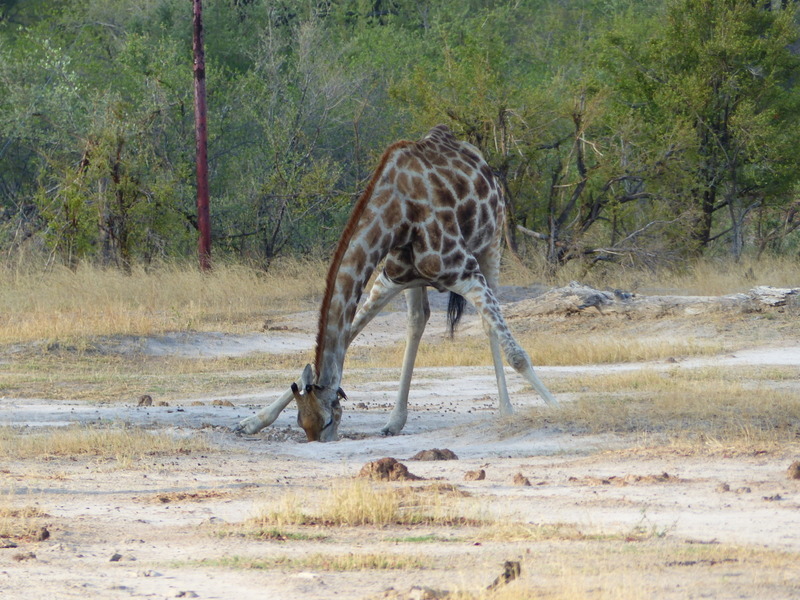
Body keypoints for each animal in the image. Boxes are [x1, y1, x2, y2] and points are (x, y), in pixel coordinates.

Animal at [236, 125, 556, 440]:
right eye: (302, 423)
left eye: (326, 422)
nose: (323, 442)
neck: (398, 215)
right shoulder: (390, 279)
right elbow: (349, 334)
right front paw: (252, 421)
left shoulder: (467, 272)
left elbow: (517, 355)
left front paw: (556, 405)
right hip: (417, 281)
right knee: (418, 320)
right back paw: (394, 421)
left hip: (492, 244)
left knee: (488, 325)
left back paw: (506, 409)